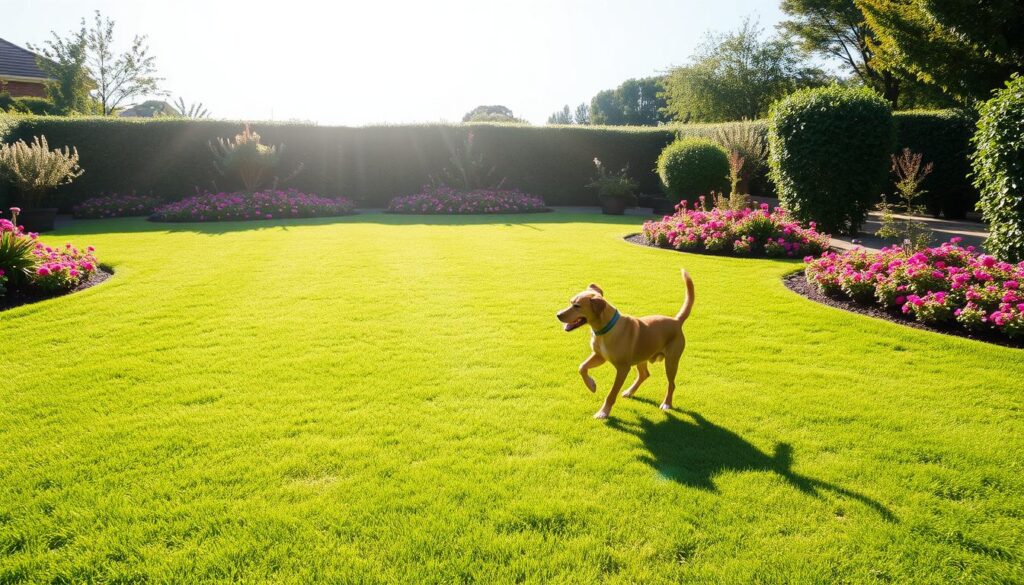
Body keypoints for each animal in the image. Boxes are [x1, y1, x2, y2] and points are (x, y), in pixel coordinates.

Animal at [557, 268, 692, 418]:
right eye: (571, 302)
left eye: (577, 306)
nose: (558, 315)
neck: (605, 329)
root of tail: (676, 321)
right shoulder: (599, 356)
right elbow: (582, 367)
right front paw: (591, 385)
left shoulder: (622, 369)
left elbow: (611, 393)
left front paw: (603, 412)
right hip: (642, 356)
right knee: (644, 374)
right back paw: (629, 391)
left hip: (671, 361)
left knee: (671, 384)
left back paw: (667, 403)